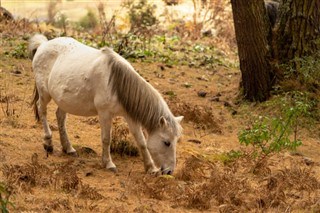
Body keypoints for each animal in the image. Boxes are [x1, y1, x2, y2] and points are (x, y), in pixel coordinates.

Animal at [28, 34, 184, 175]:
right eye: (167, 142)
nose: (169, 171)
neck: (117, 84)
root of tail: (43, 45)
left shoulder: (131, 117)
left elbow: (141, 141)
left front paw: (151, 168)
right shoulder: (105, 114)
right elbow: (106, 139)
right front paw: (108, 163)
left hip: (64, 100)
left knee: (60, 117)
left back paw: (68, 148)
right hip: (44, 94)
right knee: (42, 110)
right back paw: (48, 143)